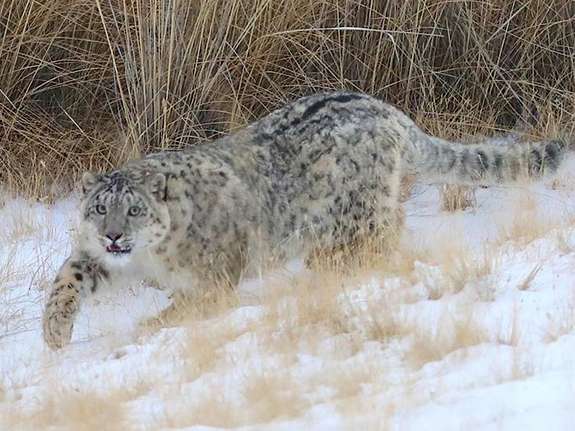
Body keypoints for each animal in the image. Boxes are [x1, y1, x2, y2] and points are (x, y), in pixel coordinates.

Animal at [42, 92, 568, 352]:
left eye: (135, 210)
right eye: (99, 209)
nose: (113, 236)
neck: (149, 258)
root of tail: (389, 111)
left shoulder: (214, 278)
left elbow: (190, 305)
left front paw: (150, 326)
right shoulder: (93, 257)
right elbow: (68, 277)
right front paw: (54, 334)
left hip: (357, 213)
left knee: (383, 235)